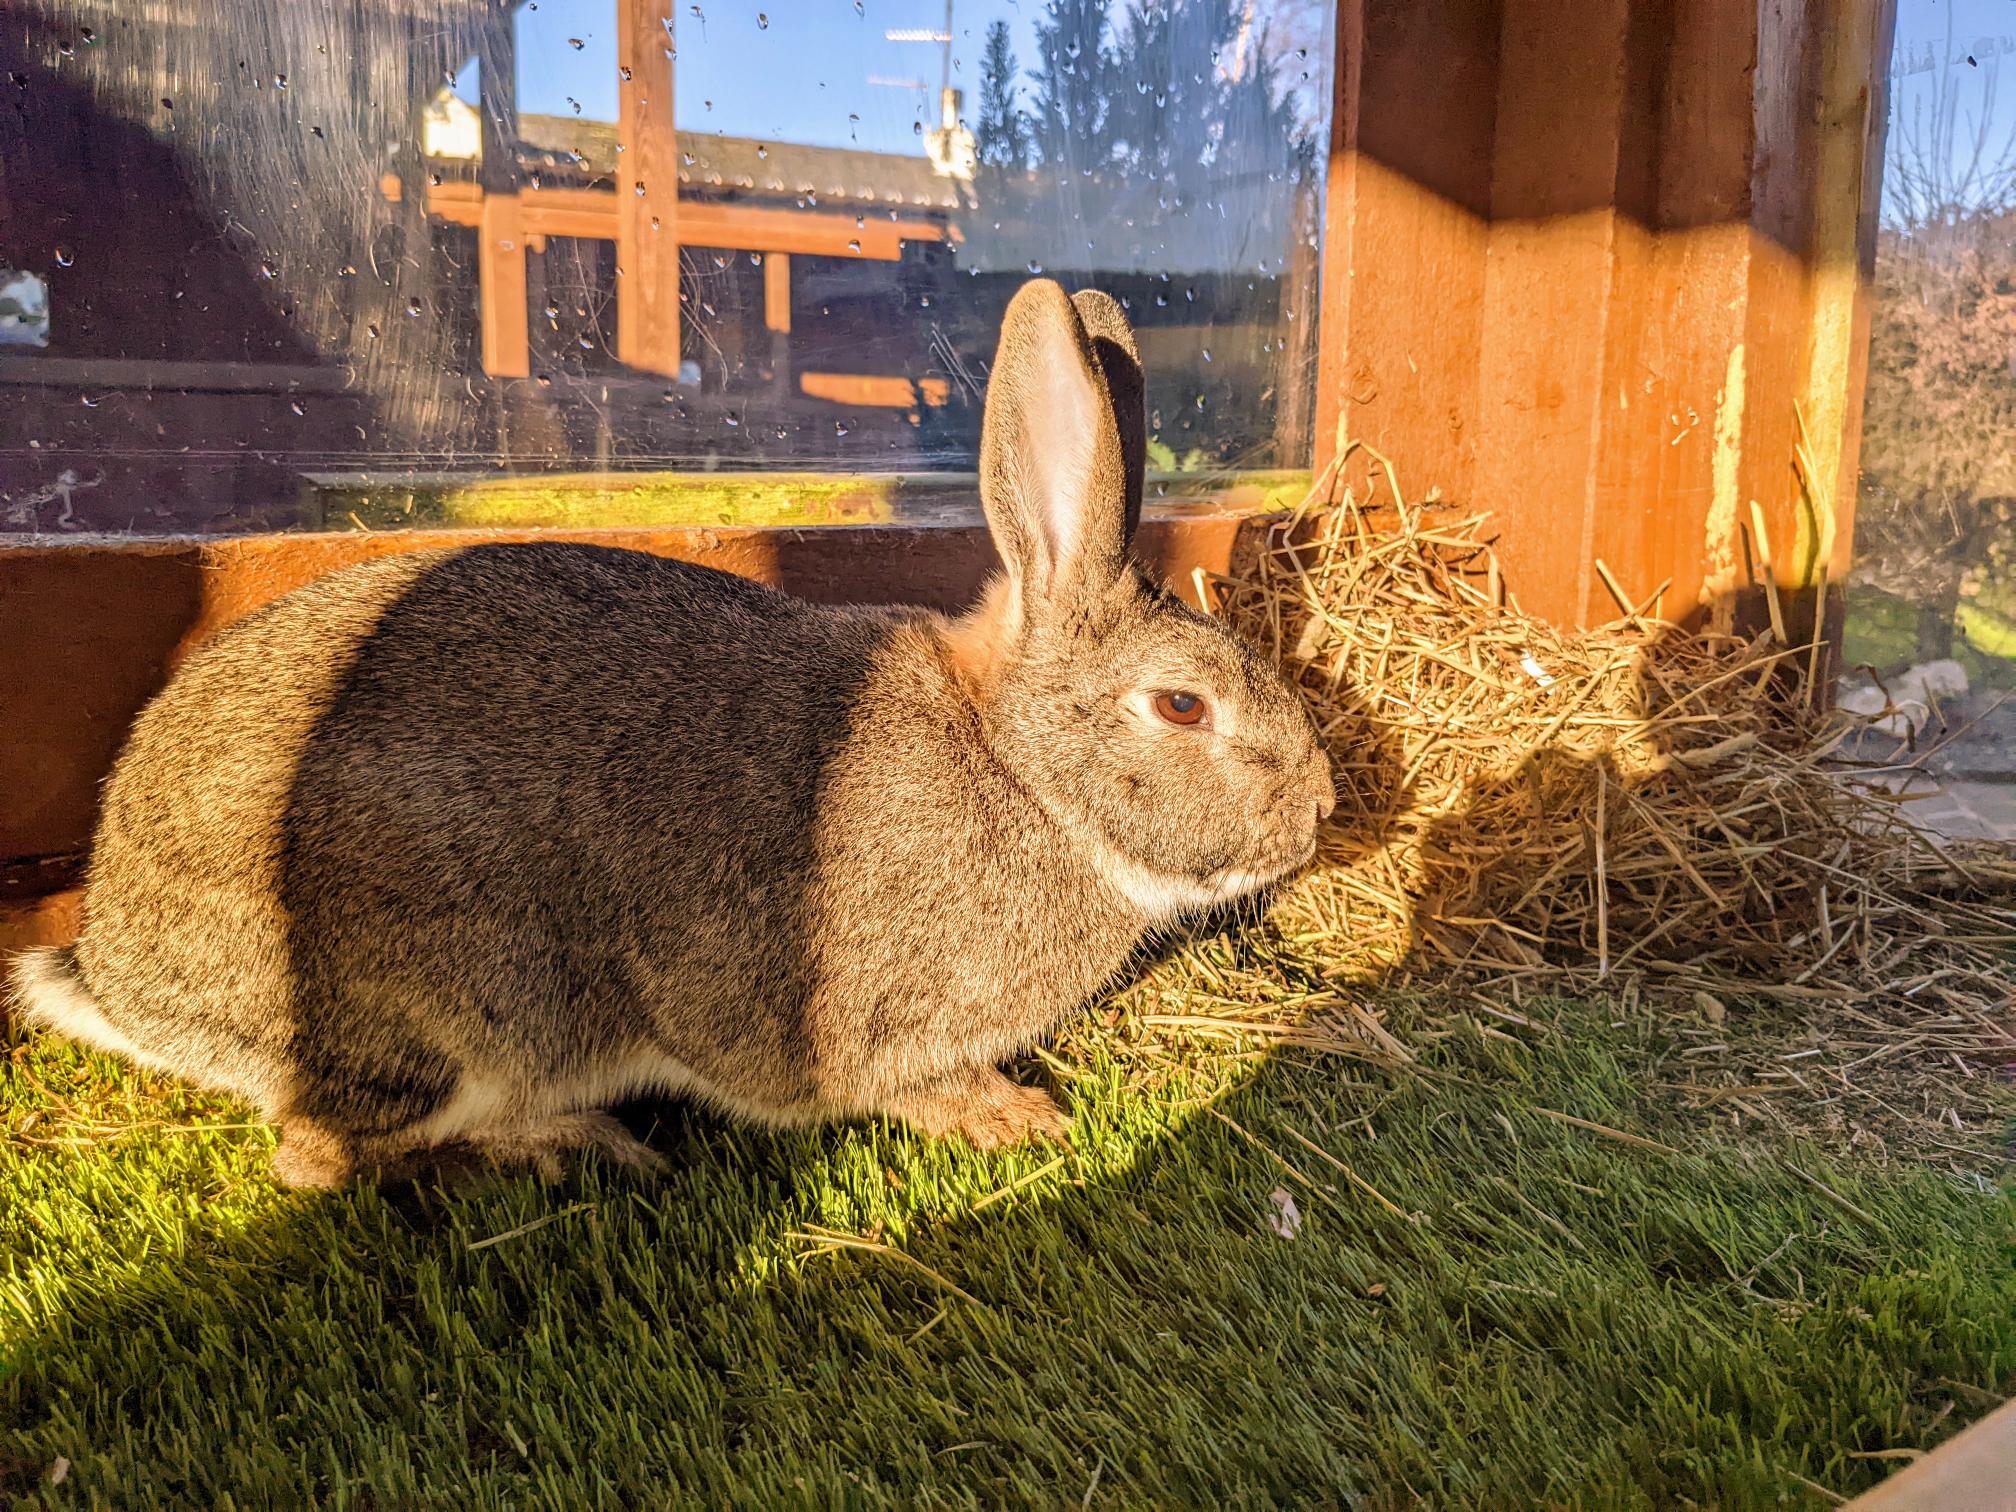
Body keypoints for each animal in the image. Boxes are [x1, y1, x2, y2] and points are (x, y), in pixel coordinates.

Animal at [7, 280, 1337, 1188]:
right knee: (317, 1154)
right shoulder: (851, 1020)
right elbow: (892, 1082)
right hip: (470, 1001)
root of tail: (120, 972)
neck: (1017, 768)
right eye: (1182, 705)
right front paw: (1014, 1117)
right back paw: (573, 1145)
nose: (1323, 811)